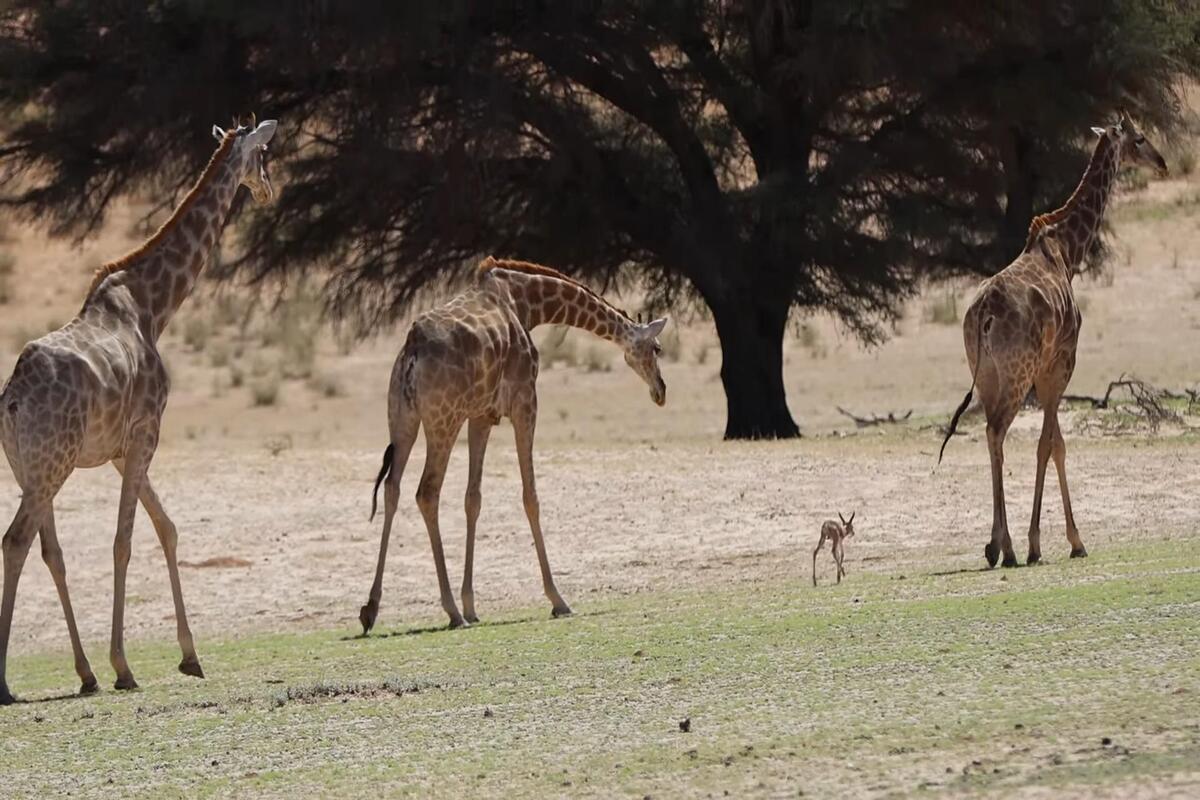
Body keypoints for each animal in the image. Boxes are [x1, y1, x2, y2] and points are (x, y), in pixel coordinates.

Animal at [0, 116, 278, 703]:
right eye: (264, 156)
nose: (269, 190)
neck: (154, 306)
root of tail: (11, 401)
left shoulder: (119, 449)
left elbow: (167, 527)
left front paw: (190, 656)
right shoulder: (146, 432)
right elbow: (125, 541)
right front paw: (124, 666)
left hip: (33, 469)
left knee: (47, 550)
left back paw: (83, 675)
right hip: (52, 467)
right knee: (16, 541)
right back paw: (8, 682)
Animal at [359, 257, 668, 633]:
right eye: (657, 349)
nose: (661, 391)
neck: (527, 303)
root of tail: (412, 349)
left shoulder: (480, 415)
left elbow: (473, 499)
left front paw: (473, 605)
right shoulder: (525, 402)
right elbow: (530, 496)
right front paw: (558, 599)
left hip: (403, 420)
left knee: (393, 488)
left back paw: (371, 609)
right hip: (442, 422)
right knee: (426, 493)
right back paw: (450, 611)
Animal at [939, 112, 1167, 568]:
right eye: (1139, 138)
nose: (1163, 163)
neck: (1068, 250)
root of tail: (984, 315)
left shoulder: (1046, 371)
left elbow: (1050, 443)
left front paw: (1041, 542)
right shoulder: (1060, 364)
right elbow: (1052, 444)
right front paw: (1063, 541)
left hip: (987, 374)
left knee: (991, 435)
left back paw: (994, 545)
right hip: (1016, 373)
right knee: (997, 431)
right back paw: (1007, 548)